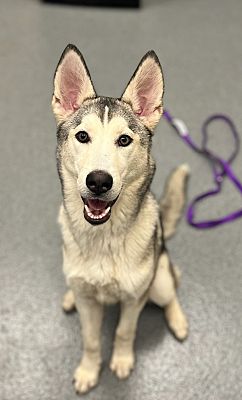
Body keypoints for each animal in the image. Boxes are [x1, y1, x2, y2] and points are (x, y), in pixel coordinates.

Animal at [51, 44, 189, 394]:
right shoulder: (90, 305)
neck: (104, 238)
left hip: (159, 283)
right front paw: (89, 371)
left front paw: (123, 360)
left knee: (173, 288)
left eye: (124, 140)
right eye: (82, 136)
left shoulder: (135, 299)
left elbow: (125, 332)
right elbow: (90, 340)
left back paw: (178, 320)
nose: (99, 181)